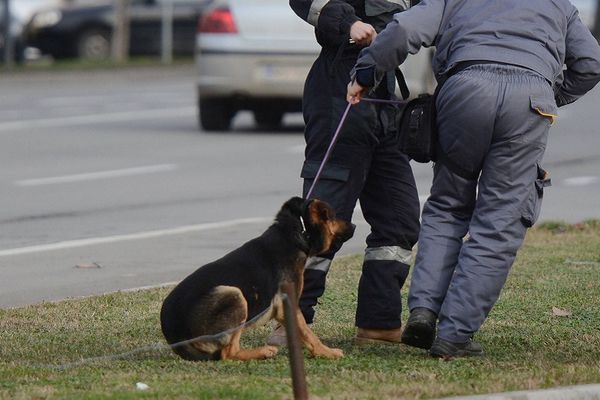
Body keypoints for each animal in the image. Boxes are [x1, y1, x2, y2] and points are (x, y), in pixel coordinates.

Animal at [162, 198, 354, 362]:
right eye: (332, 216)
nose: (354, 225)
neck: (296, 232)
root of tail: (175, 338)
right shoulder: (288, 303)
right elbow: (308, 333)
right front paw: (326, 352)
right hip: (234, 294)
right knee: (229, 353)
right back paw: (263, 352)